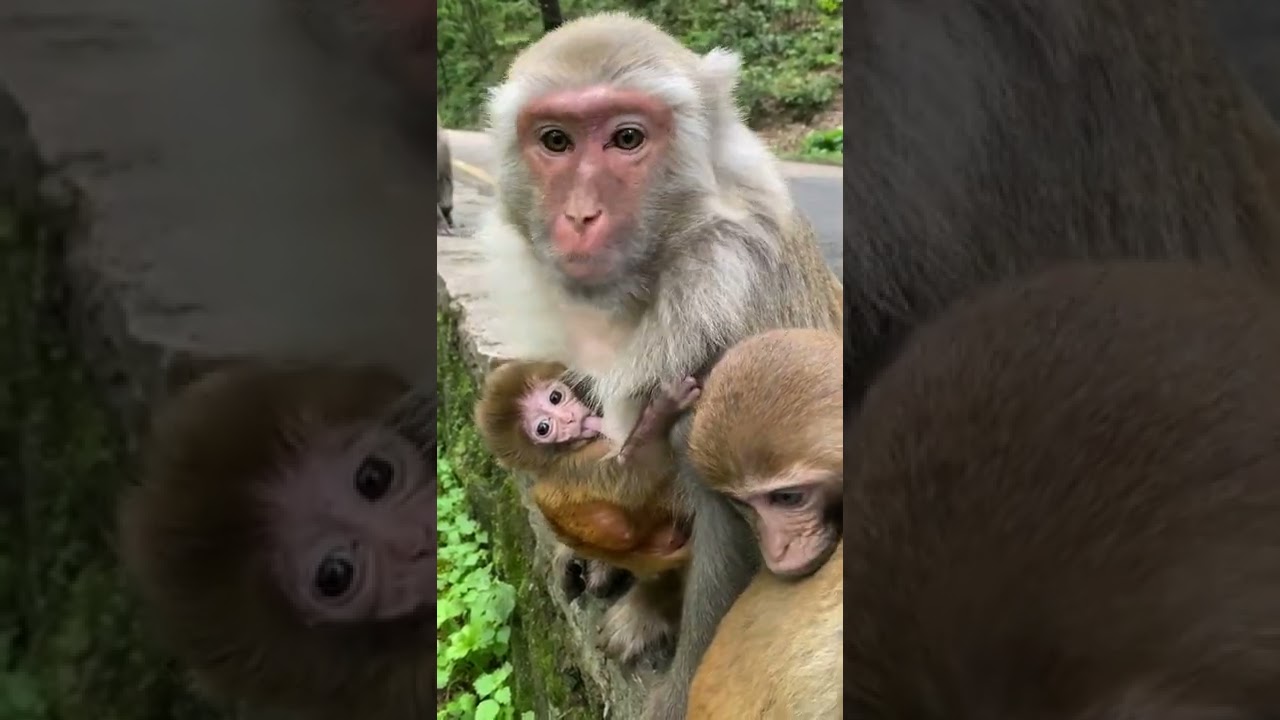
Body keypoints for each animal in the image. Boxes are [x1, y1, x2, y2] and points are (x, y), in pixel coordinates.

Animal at [474, 359, 698, 663]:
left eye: (555, 397)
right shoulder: (574, 466)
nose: (570, 418)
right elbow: (643, 474)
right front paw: (663, 411)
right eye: (543, 428)